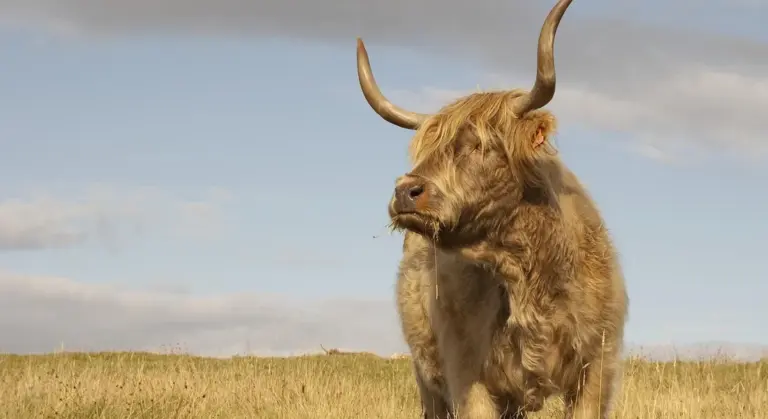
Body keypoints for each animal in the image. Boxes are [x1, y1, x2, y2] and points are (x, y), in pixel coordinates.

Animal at [353, 0, 629, 418]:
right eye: (425, 149)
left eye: (482, 144)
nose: (404, 192)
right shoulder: (466, 371)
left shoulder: (597, 366)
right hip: (426, 377)